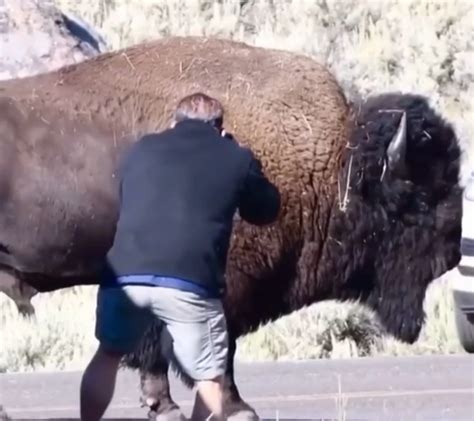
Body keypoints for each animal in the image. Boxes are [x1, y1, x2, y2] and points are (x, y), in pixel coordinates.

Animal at [0, 37, 462, 420]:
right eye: (420, 197)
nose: (453, 253)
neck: (335, 163)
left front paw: (165, 407)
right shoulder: (225, 285)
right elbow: (216, 351)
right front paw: (238, 409)